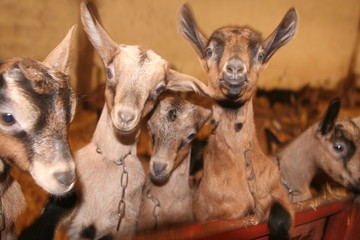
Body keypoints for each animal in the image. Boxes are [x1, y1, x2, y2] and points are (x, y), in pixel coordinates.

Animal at [176, 4, 298, 239]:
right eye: (209, 51)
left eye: (260, 54)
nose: (234, 68)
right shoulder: (214, 215)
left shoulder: (275, 192)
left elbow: (281, 218)